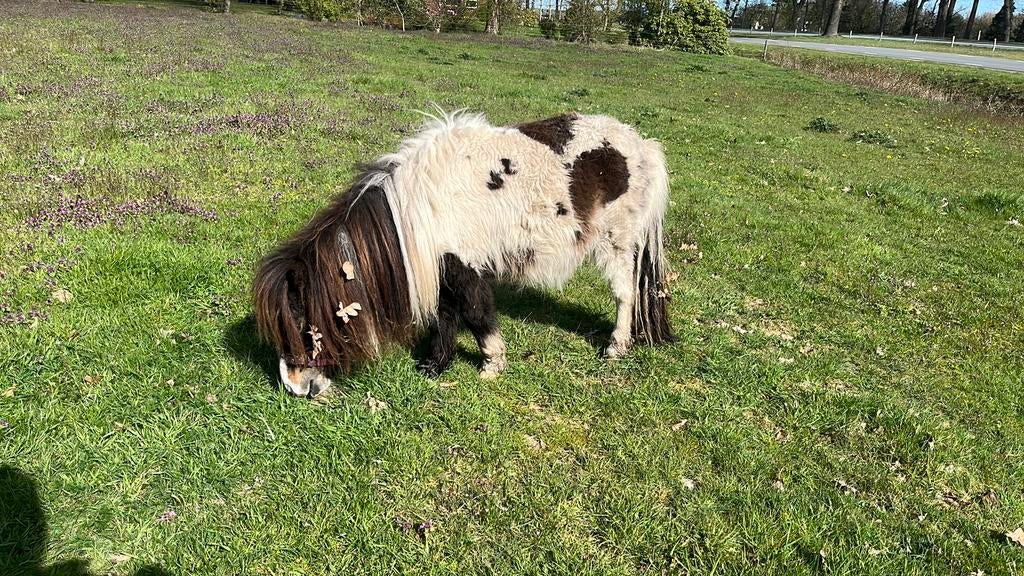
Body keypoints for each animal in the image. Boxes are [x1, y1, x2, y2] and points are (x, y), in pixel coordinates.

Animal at [253, 110, 674, 397]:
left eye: (299, 320)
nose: (294, 387)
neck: (416, 208)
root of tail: (644, 147)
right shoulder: (443, 266)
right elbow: (445, 314)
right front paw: (435, 365)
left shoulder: (465, 264)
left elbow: (474, 311)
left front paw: (491, 364)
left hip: (617, 242)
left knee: (625, 293)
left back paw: (615, 347)